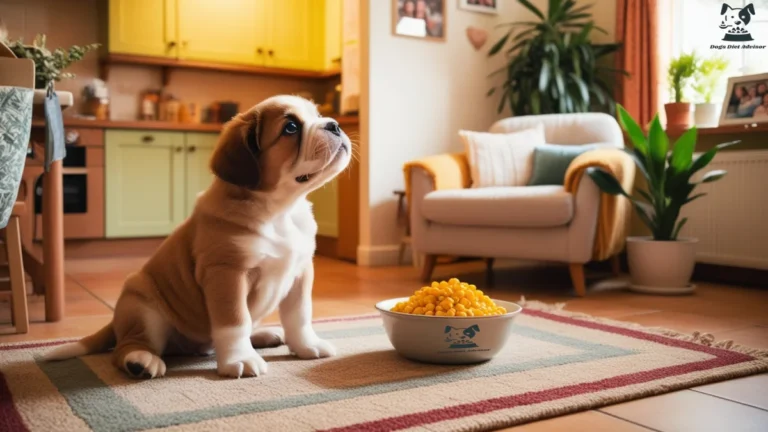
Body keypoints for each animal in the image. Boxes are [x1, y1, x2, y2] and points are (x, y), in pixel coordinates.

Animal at [43, 95, 350, 378]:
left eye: (318, 115)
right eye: (291, 128)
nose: (335, 124)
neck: (280, 212)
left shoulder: (300, 272)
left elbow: (299, 315)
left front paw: (307, 345)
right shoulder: (226, 273)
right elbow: (234, 321)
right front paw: (240, 359)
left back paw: (264, 335)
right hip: (143, 307)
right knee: (126, 348)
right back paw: (141, 361)